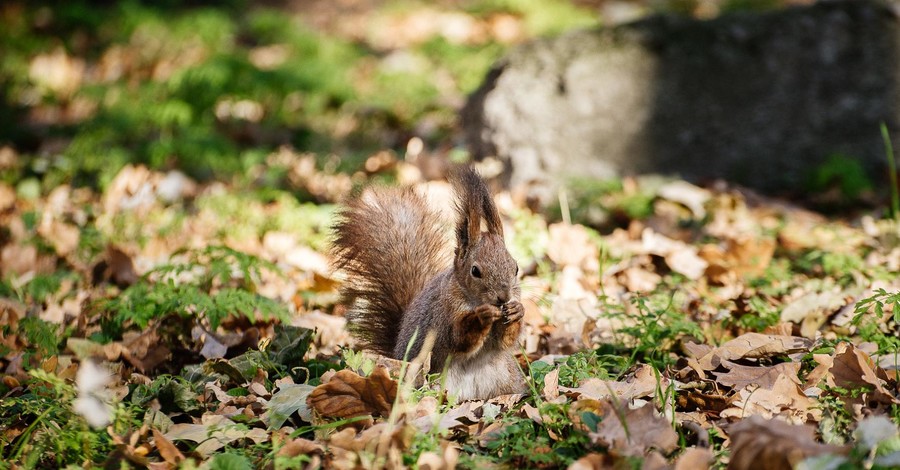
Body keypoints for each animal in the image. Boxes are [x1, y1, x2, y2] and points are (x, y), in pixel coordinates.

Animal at [330, 165, 528, 400]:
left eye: (515, 268)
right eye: (475, 271)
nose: (504, 297)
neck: (473, 299)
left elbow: (505, 341)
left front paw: (517, 310)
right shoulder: (442, 317)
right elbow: (457, 338)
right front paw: (482, 317)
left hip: (507, 377)